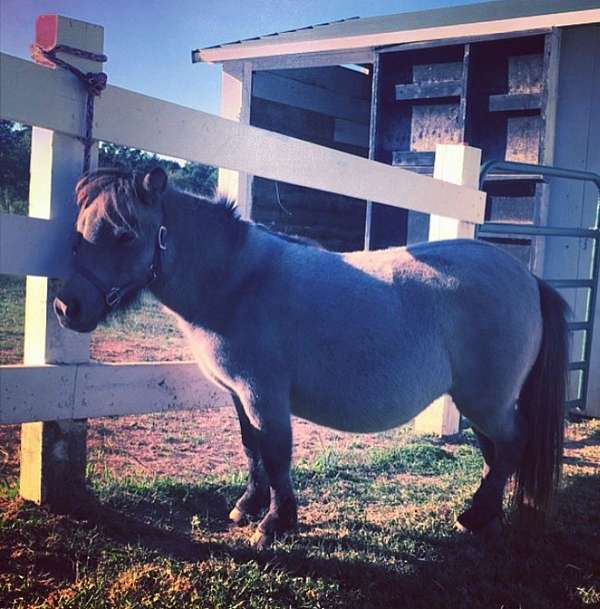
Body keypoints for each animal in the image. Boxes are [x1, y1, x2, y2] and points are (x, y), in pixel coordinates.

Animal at [55, 169, 568, 548]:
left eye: (124, 235)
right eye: (77, 233)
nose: (66, 307)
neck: (237, 281)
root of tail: (527, 277)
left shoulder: (264, 396)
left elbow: (277, 454)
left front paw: (275, 525)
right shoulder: (241, 397)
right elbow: (252, 448)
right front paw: (249, 507)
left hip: (486, 401)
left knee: (511, 444)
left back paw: (479, 515)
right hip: (480, 402)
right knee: (496, 452)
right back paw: (484, 517)